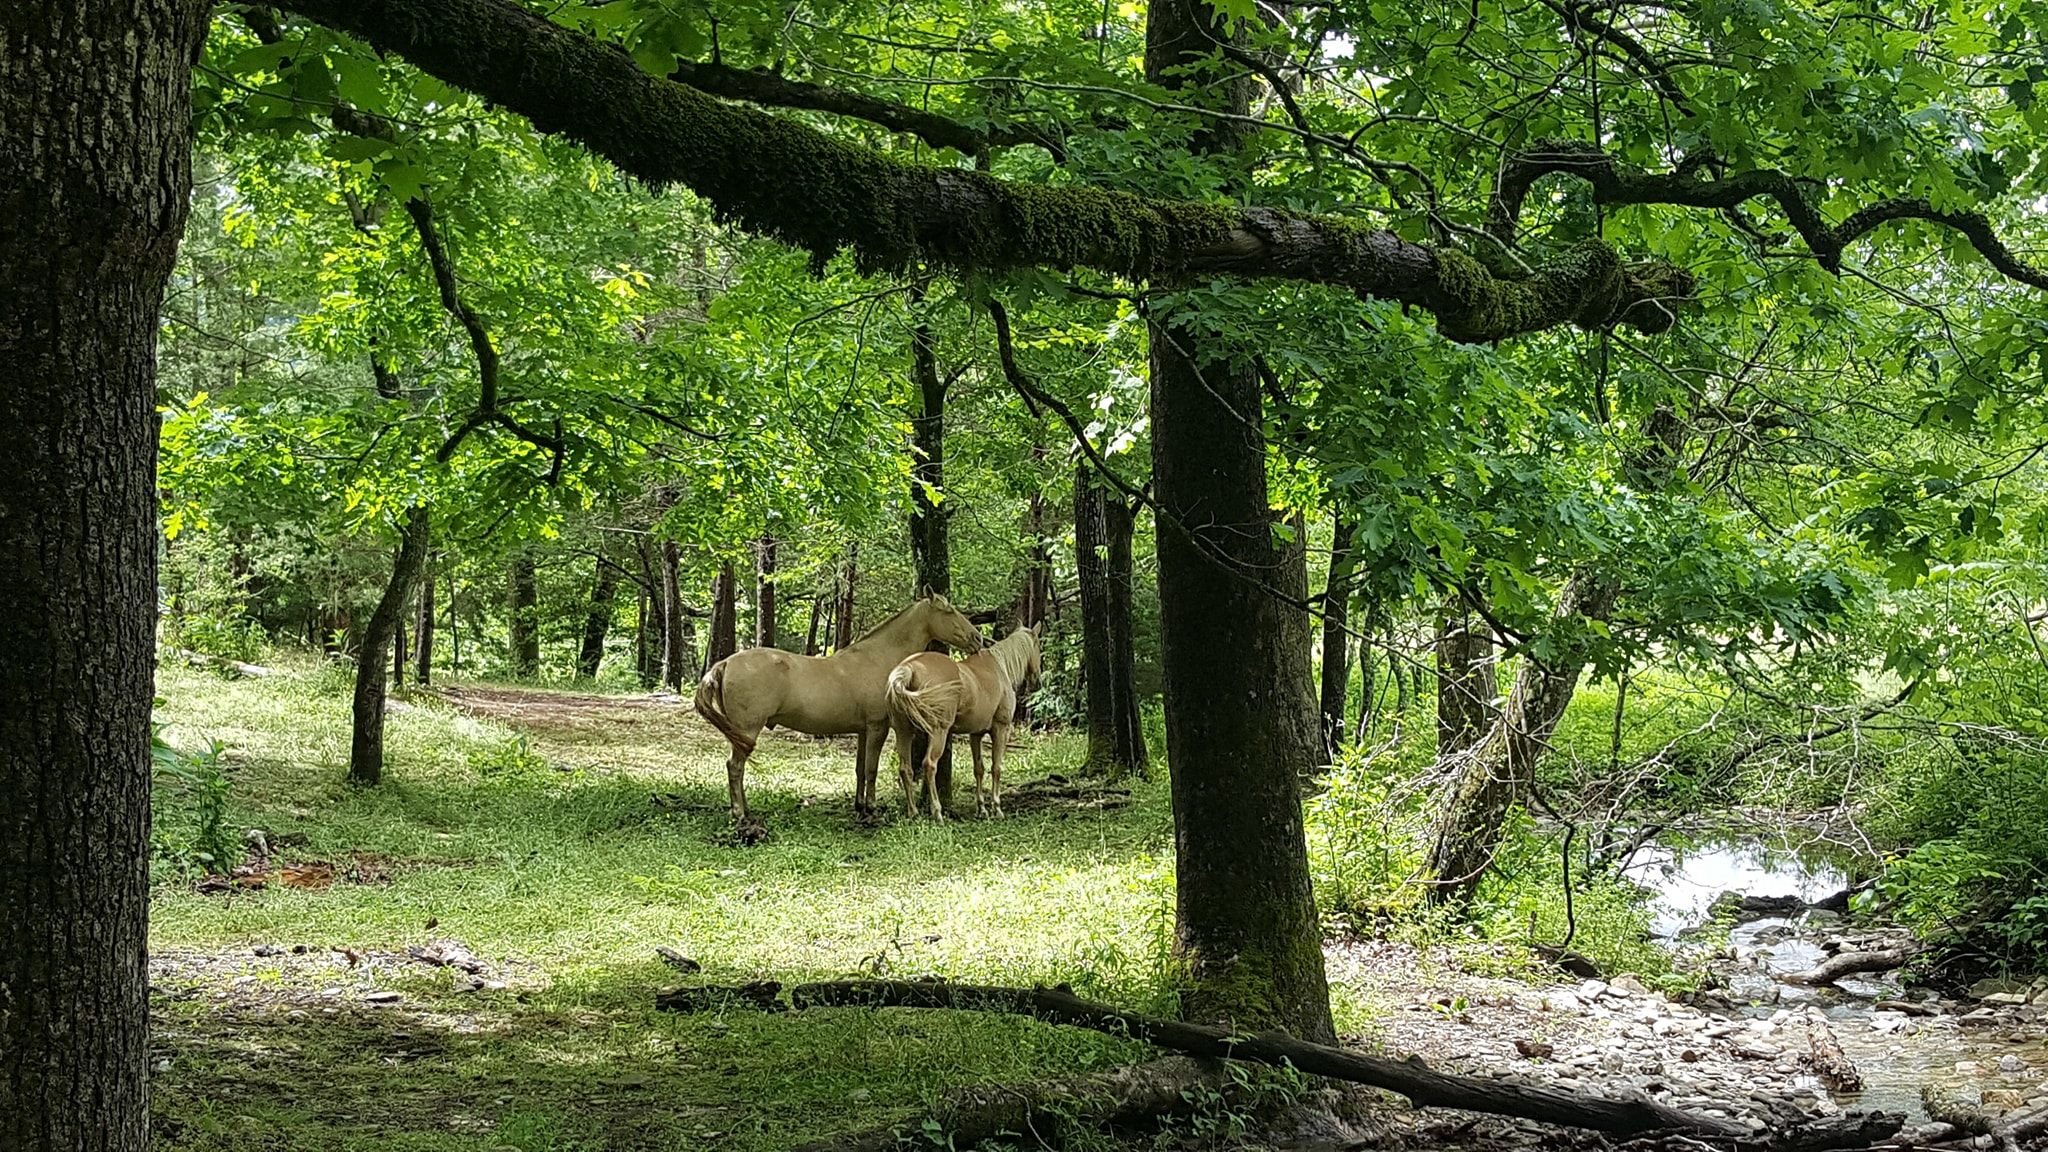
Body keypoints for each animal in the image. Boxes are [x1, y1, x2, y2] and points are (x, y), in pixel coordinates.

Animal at [694, 591, 984, 824]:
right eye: (948, 610)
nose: (978, 638)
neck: (879, 659)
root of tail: (725, 663)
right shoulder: (878, 727)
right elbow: (871, 769)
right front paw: (872, 808)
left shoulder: (864, 731)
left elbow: (860, 768)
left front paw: (860, 806)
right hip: (748, 729)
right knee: (734, 767)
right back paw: (740, 814)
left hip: (740, 734)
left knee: (737, 768)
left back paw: (745, 811)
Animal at [885, 623, 1042, 821]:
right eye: (1038, 647)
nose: (1037, 680)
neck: (999, 669)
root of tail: (909, 669)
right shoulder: (1001, 729)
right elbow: (996, 768)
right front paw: (996, 808)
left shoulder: (976, 734)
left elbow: (979, 769)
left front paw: (981, 809)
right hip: (938, 732)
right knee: (929, 765)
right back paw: (937, 811)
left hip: (903, 732)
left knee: (905, 769)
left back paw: (913, 812)